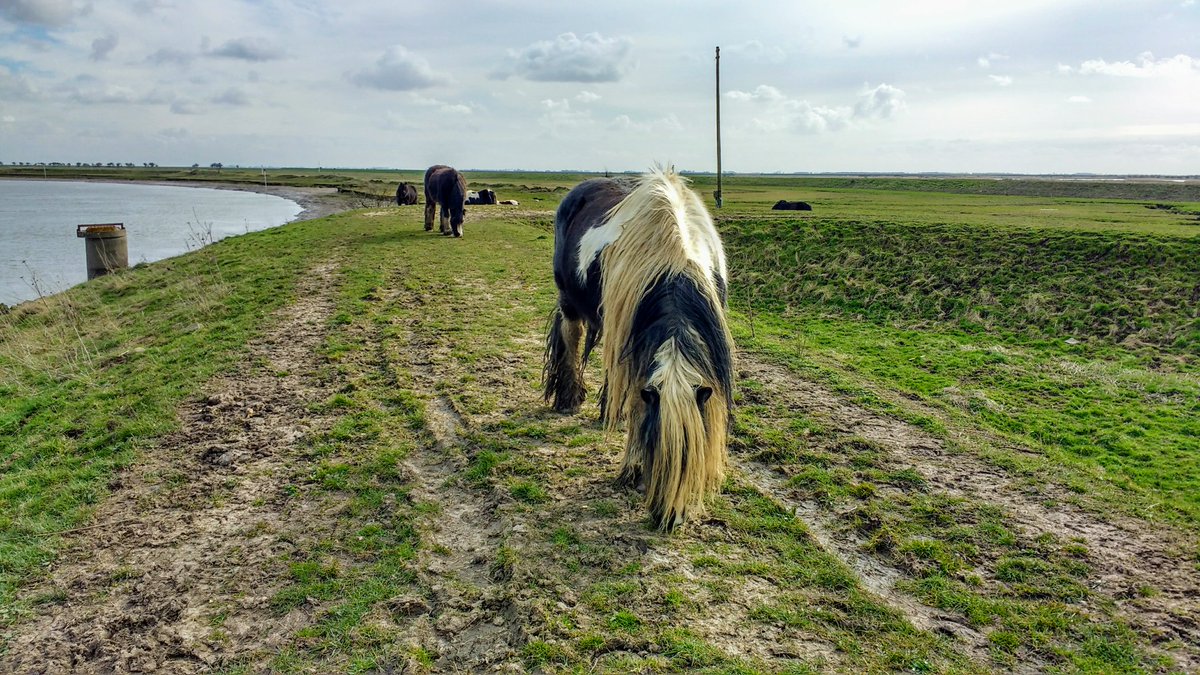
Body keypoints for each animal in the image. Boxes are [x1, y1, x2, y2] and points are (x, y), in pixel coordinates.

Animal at [543, 168, 734, 529]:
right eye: (653, 448)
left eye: (692, 457)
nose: (668, 519)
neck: (674, 262)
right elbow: (635, 402)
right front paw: (629, 468)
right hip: (570, 302)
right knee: (571, 338)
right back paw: (568, 398)